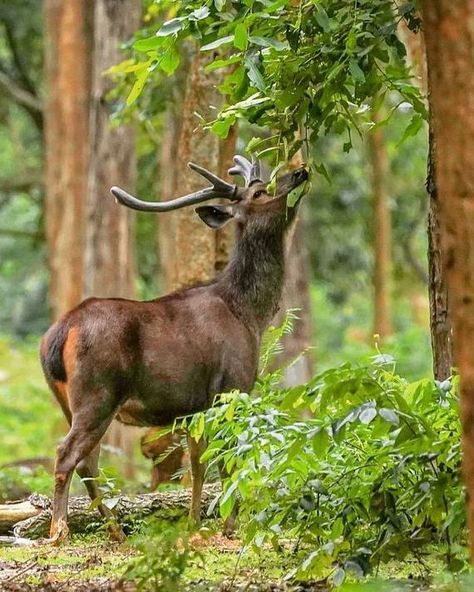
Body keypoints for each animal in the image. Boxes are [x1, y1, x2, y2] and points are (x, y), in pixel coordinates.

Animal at [39, 155, 308, 544]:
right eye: (259, 193)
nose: (301, 171)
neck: (249, 314)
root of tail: (59, 334)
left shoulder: (194, 409)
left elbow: (196, 465)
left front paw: (194, 522)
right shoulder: (232, 386)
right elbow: (226, 462)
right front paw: (228, 526)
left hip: (66, 400)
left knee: (88, 462)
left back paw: (116, 531)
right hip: (97, 392)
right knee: (67, 454)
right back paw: (59, 530)